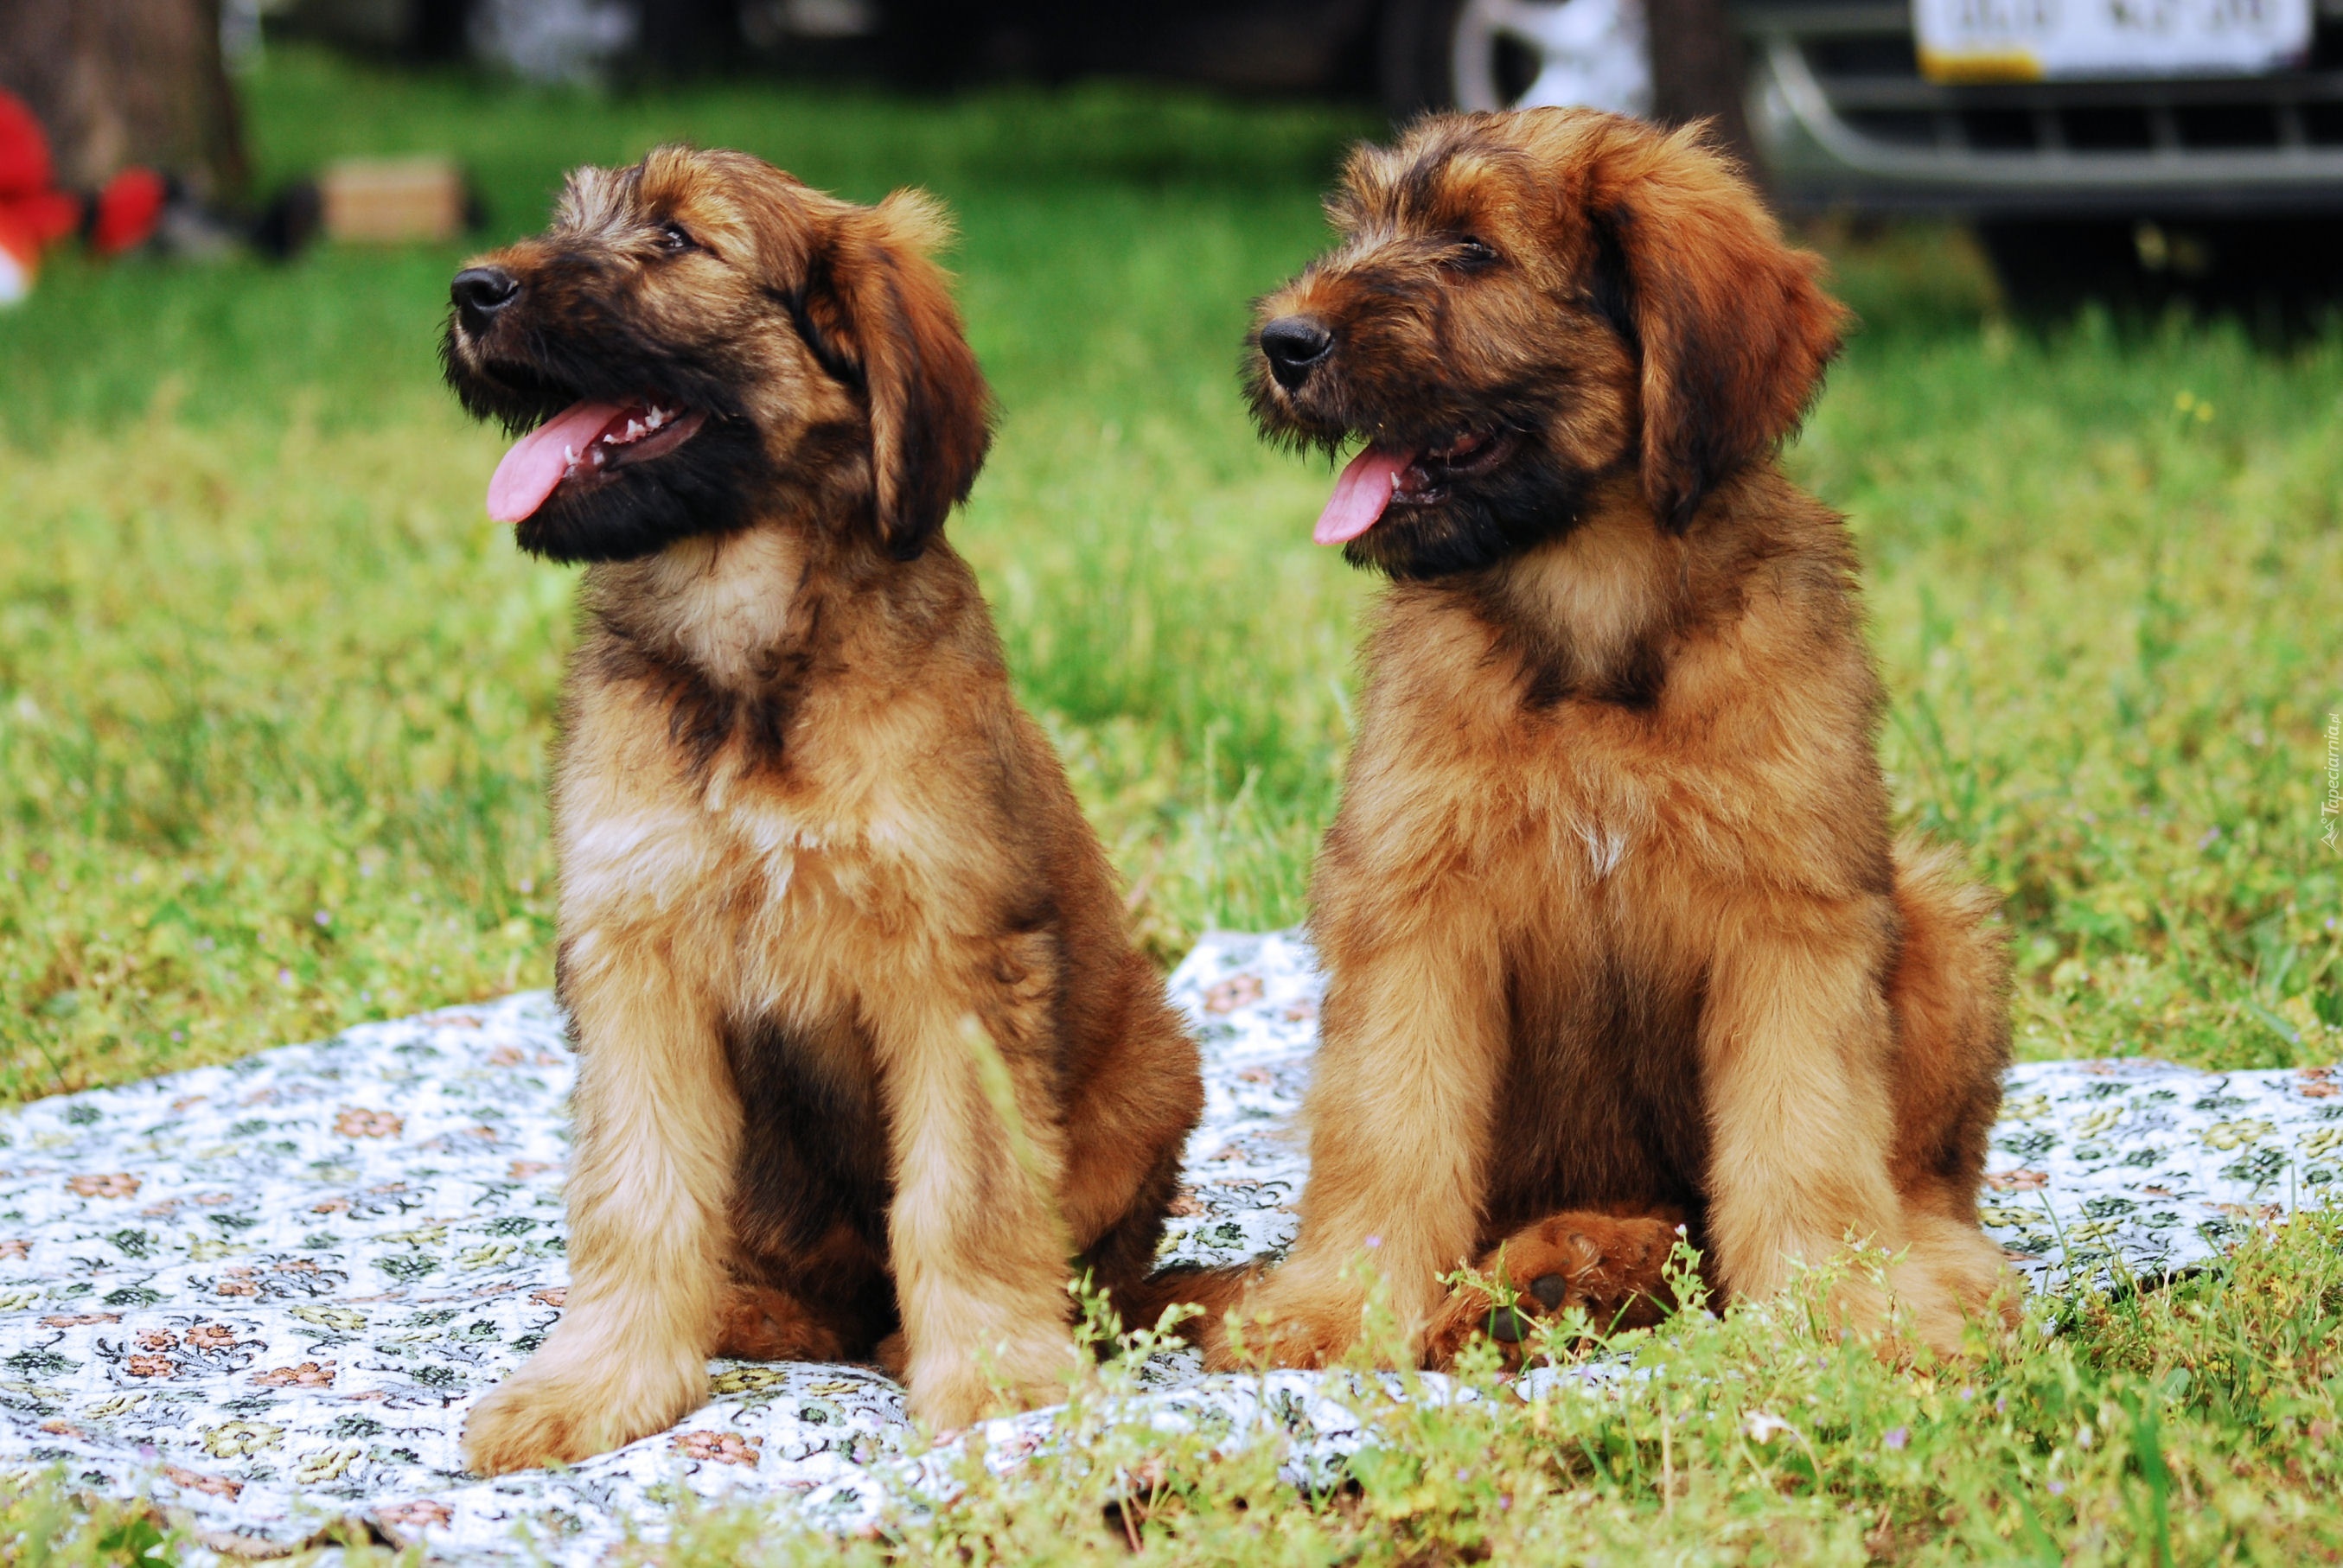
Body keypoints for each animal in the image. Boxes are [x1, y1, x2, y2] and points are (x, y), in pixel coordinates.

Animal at [443, 143, 1209, 1471]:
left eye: (677, 241)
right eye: (572, 221)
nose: (470, 289)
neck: (748, 658)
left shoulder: (953, 963)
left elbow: (965, 1195)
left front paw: (995, 1380)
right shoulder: (635, 962)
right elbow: (637, 1195)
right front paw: (599, 1380)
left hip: (1153, 1075)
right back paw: (746, 1309)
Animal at [1209, 107, 2014, 1359]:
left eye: (1474, 249)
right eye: (1364, 224)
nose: (1280, 341)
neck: (1590, 611)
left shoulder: (1793, 918)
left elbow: (1805, 1136)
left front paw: (1839, 1312)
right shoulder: (1412, 908)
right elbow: (1388, 1127)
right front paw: (1335, 1312)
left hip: (1937, 913)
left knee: (1924, 1181)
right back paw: (1562, 1269)